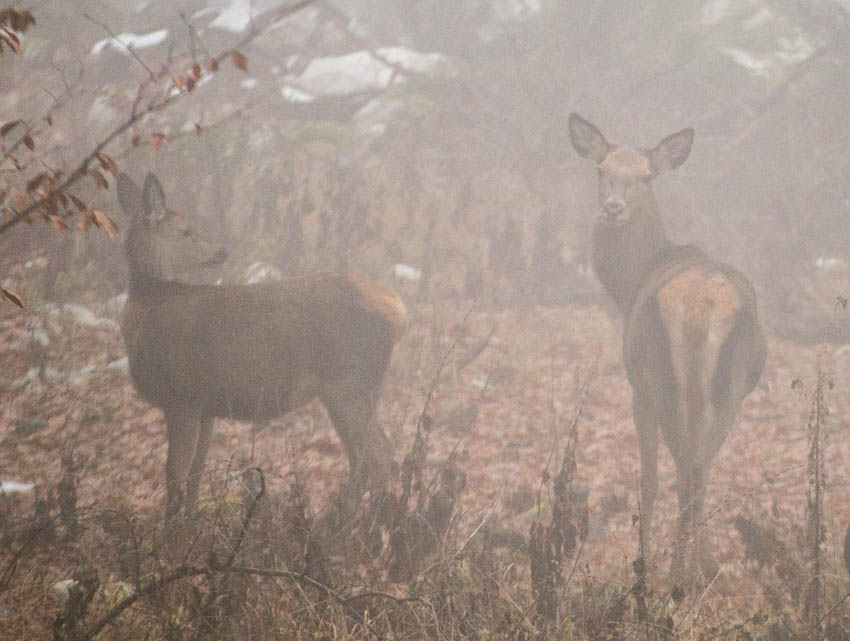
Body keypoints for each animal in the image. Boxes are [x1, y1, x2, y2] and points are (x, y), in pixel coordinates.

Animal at [117, 174, 406, 520]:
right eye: (186, 231)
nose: (222, 251)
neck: (148, 309)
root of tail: (399, 310)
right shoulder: (205, 405)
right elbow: (196, 477)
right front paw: (193, 525)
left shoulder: (181, 398)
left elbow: (174, 478)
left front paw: (171, 532)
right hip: (353, 388)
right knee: (369, 458)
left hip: (347, 382)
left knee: (378, 458)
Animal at [568, 112, 764, 584]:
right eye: (602, 169)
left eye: (647, 176)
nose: (613, 208)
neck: (628, 285)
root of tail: (700, 310)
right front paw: (708, 562)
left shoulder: (636, 383)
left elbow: (648, 478)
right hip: (730, 387)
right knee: (699, 470)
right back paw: (699, 569)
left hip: (661, 379)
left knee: (684, 473)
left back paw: (674, 576)